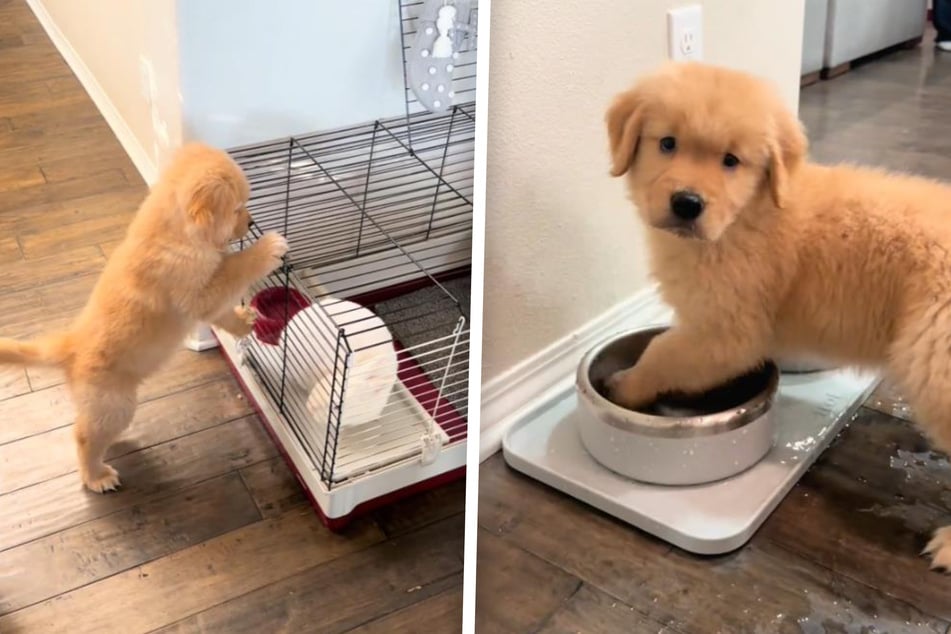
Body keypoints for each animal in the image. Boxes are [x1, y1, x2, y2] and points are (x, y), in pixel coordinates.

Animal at [0, 144, 286, 494]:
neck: (176, 235)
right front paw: (268, 248)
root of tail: (71, 347)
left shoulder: (207, 303)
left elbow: (223, 312)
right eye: (237, 208)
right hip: (114, 405)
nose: (252, 221)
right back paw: (96, 476)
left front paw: (244, 321)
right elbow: (235, 267)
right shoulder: (198, 292)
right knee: (83, 436)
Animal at [608, 61, 951, 572]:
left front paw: (626, 385)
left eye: (731, 161)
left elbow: (661, 352)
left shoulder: (725, 331)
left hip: (934, 364)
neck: (748, 214)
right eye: (667, 143)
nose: (686, 204)